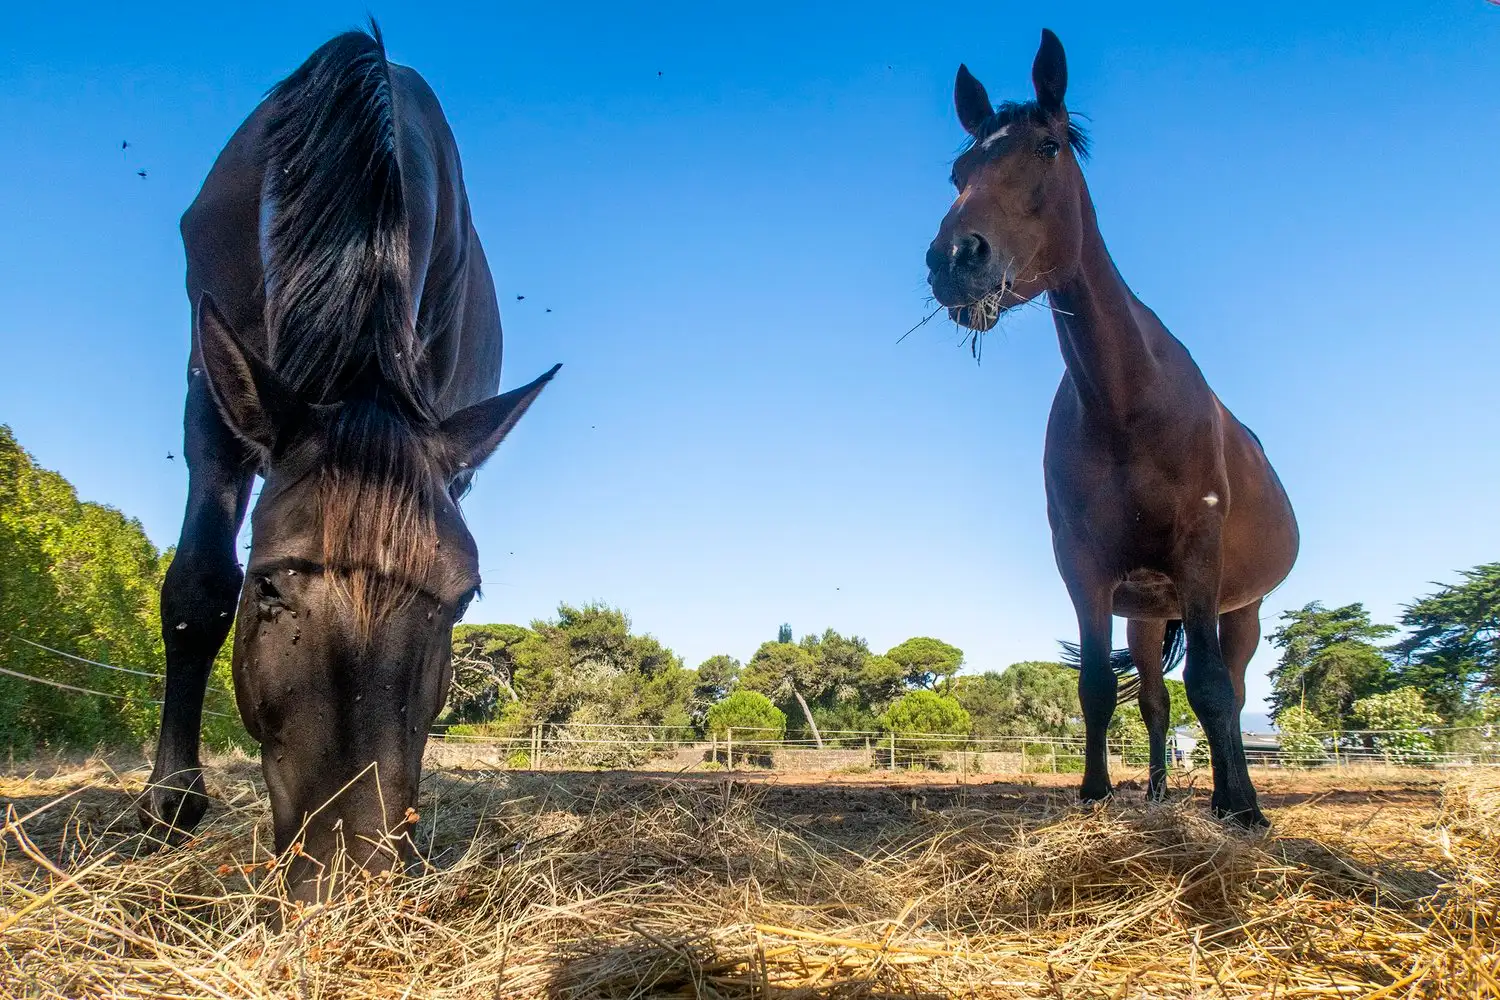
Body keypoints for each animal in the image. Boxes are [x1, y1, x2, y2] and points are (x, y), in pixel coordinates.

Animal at [137, 24, 560, 899]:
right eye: (269, 586)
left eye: (461, 603)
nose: (346, 871)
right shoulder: (212, 391)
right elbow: (198, 583)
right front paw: (169, 804)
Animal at [923, 30, 1297, 826]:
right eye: (959, 170)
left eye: (1047, 147)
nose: (954, 260)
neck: (1127, 403)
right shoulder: (1084, 566)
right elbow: (1098, 688)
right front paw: (1095, 798)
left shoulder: (1198, 556)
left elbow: (1212, 690)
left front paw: (1242, 812)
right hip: (1149, 615)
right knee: (1157, 701)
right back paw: (1157, 792)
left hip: (1240, 607)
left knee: (1228, 688)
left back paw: (1234, 797)